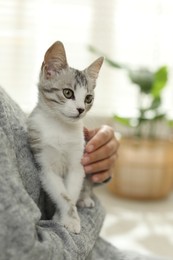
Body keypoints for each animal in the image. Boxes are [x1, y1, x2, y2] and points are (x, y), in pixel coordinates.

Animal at [27, 41, 103, 234]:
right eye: (68, 93)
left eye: (88, 98)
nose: (81, 109)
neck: (60, 127)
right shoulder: (45, 165)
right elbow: (63, 195)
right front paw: (65, 217)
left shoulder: (78, 163)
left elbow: (72, 192)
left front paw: (68, 217)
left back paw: (85, 198)